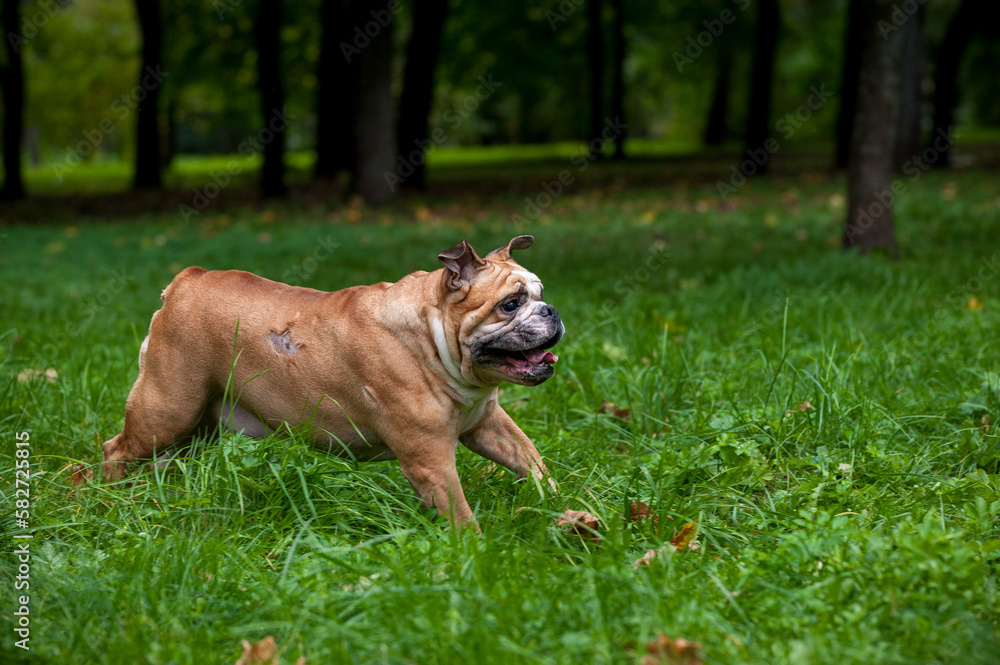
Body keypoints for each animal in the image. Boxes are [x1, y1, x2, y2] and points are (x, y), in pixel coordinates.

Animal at [100, 236, 564, 528]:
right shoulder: (430, 460)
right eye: (511, 304)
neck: (431, 336)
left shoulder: (489, 424)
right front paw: (473, 549)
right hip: (167, 409)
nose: (552, 310)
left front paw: (559, 503)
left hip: (195, 426)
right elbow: (459, 512)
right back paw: (107, 498)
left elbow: (531, 461)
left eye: (541, 294)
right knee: (116, 450)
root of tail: (187, 279)